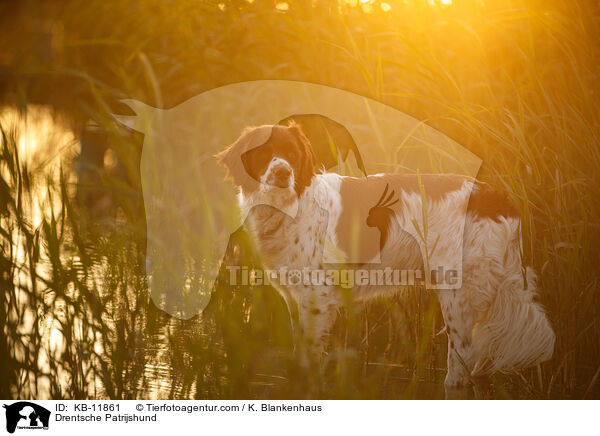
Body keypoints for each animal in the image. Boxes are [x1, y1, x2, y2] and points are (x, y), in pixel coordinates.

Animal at [214, 122, 552, 396]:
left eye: (292, 153)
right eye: (263, 152)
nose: (283, 172)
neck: (287, 207)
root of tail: (498, 198)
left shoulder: (317, 298)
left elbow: (308, 361)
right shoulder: (296, 299)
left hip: (459, 293)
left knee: (462, 361)